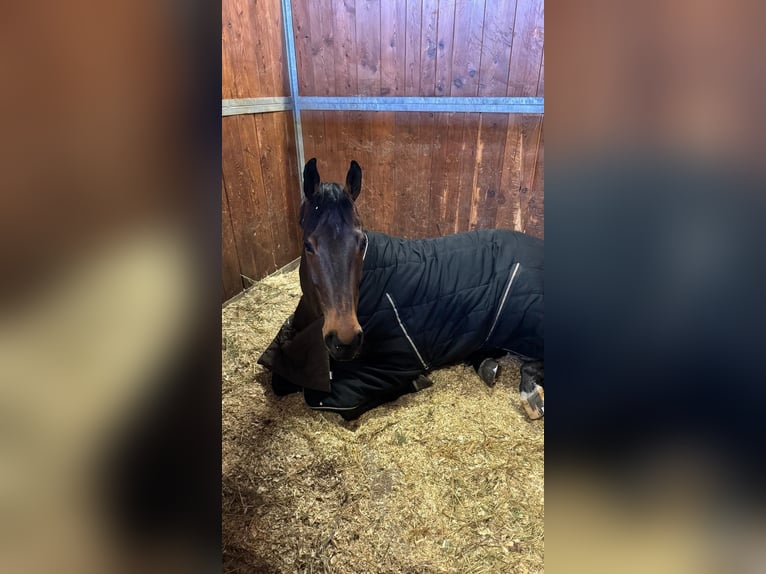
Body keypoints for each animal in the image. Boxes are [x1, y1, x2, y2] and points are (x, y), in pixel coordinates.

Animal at [258, 158, 544, 420]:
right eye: (308, 245)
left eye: (362, 242)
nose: (345, 339)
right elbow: (279, 380)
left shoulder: (389, 367)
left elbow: (338, 403)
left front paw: (416, 382)